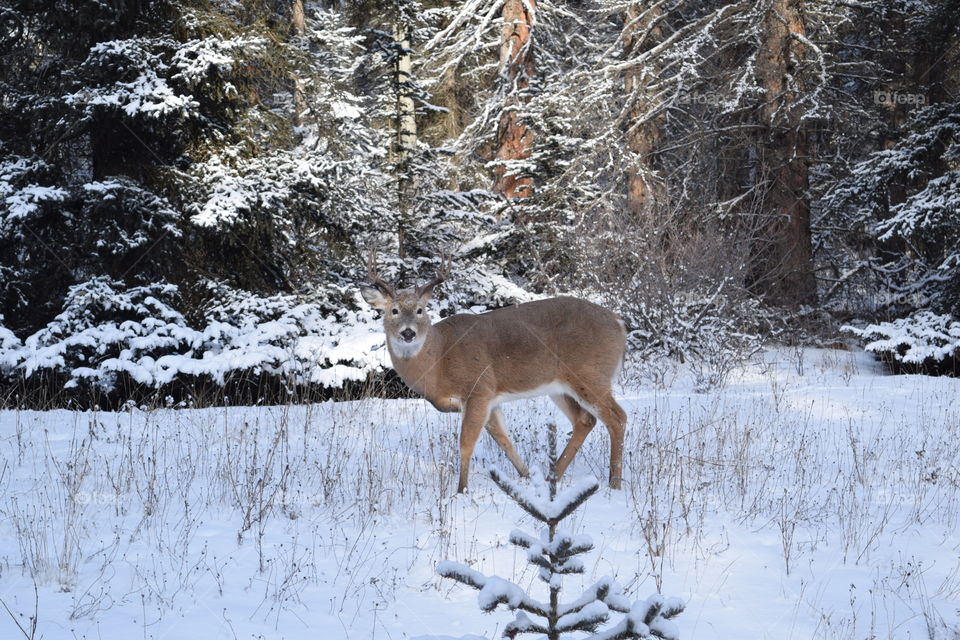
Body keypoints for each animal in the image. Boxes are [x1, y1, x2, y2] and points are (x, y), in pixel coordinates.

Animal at [360, 253, 628, 493]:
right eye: (394, 310)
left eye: (420, 310)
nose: (408, 333)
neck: (438, 361)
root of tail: (618, 322)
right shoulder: (490, 399)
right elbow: (503, 439)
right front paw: (526, 476)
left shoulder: (479, 388)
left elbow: (466, 443)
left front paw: (461, 490)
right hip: (560, 386)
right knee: (585, 420)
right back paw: (554, 477)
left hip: (590, 374)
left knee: (617, 417)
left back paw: (614, 483)